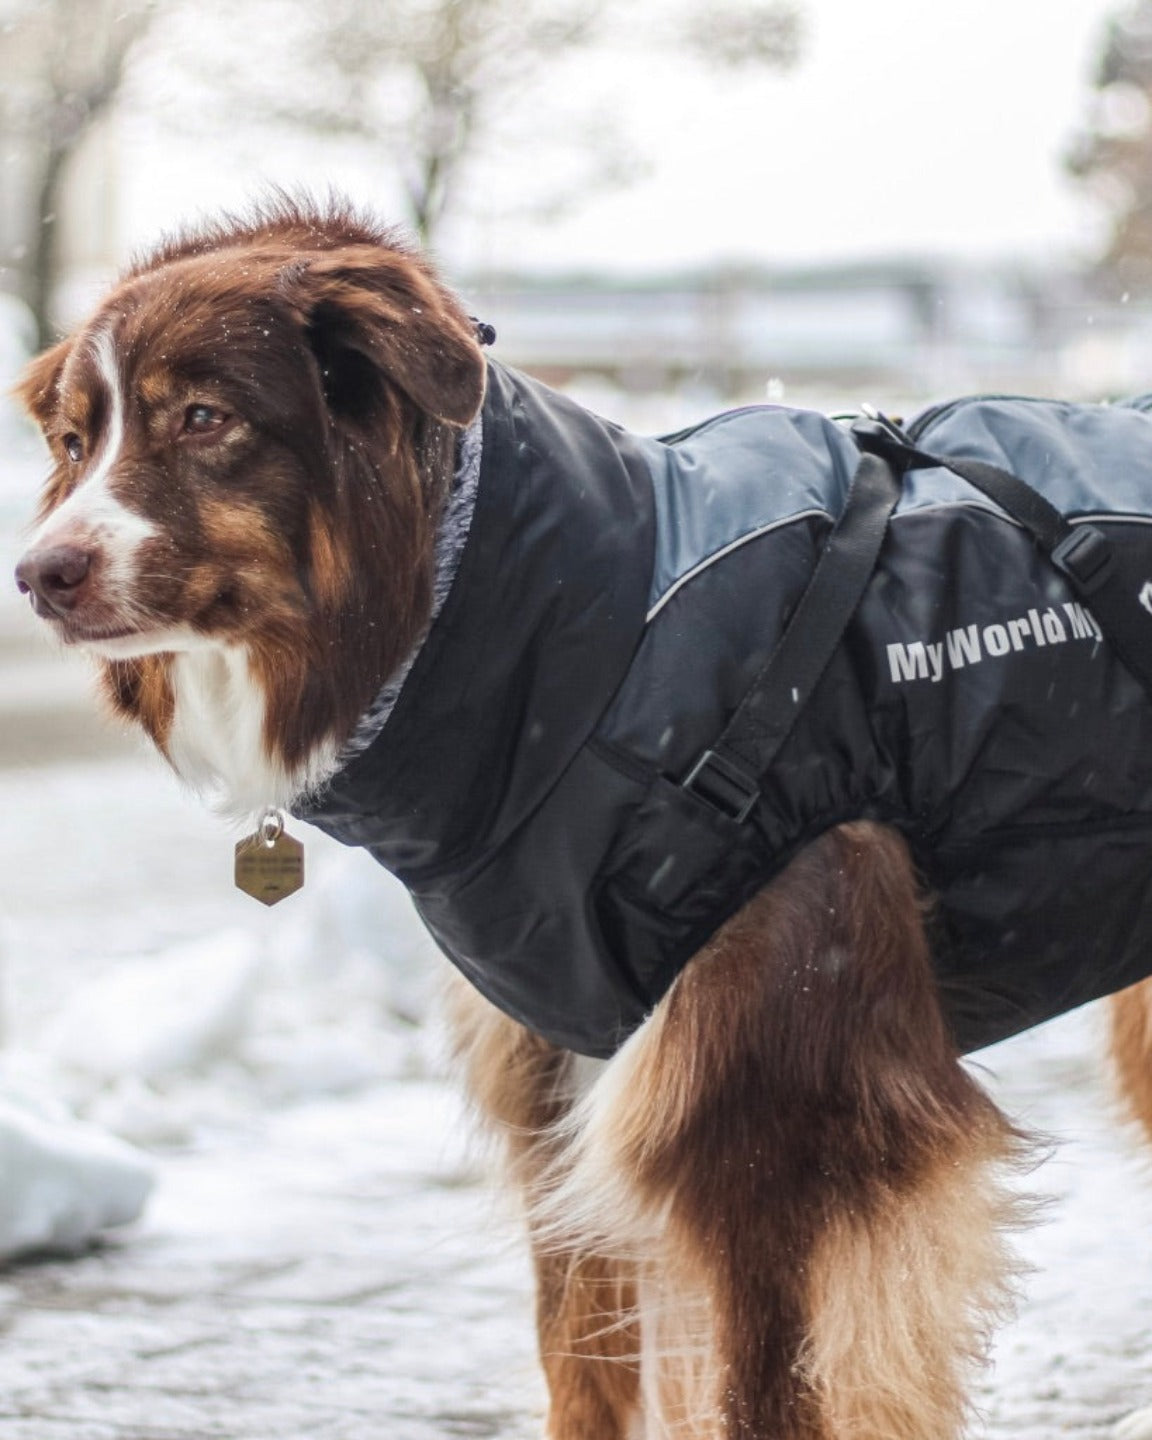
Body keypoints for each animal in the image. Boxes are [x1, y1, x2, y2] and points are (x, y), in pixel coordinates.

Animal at [13, 200, 1152, 1440]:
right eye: (71, 441)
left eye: (204, 417)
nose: (36, 574)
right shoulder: (560, 1067)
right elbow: (585, 1362)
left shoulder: (777, 1115)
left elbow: (766, 1387)